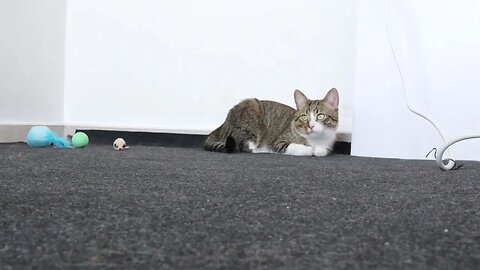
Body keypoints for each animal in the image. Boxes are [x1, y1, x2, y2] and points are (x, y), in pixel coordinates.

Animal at [204, 88, 340, 156]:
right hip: (251, 111)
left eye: (320, 116)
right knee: (243, 145)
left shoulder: (328, 144)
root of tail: (221, 127)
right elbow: (299, 148)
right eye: (304, 117)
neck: (316, 140)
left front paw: (318, 150)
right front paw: (310, 150)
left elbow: (323, 151)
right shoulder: (280, 142)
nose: (310, 126)